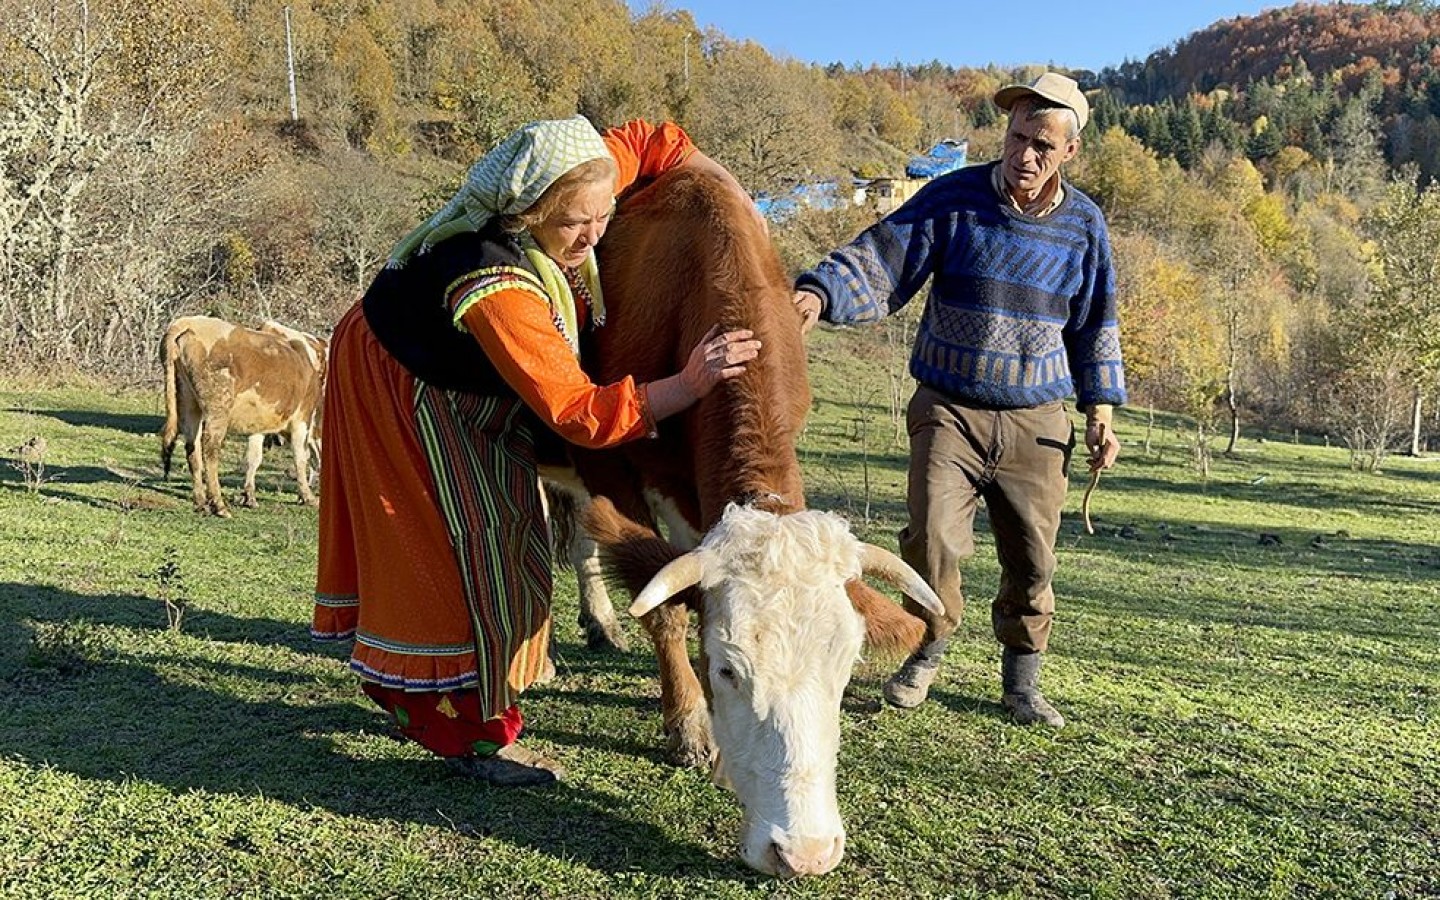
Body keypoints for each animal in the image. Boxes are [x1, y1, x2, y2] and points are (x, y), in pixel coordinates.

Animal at [162, 315, 328, 515]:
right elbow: (300, 457)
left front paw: (249, 497)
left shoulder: (258, 424)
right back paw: (219, 504)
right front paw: (308, 497)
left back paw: (201, 502)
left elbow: (253, 458)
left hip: (189, 404)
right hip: (218, 407)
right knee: (210, 449)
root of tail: (189, 321)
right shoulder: (301, 419)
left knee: (192, 449)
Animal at [573, 168, 944, 875]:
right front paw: (691, 727)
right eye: (726, 669)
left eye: (846, 665)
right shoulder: (624, 468)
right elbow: (663, 605)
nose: (805, 852)